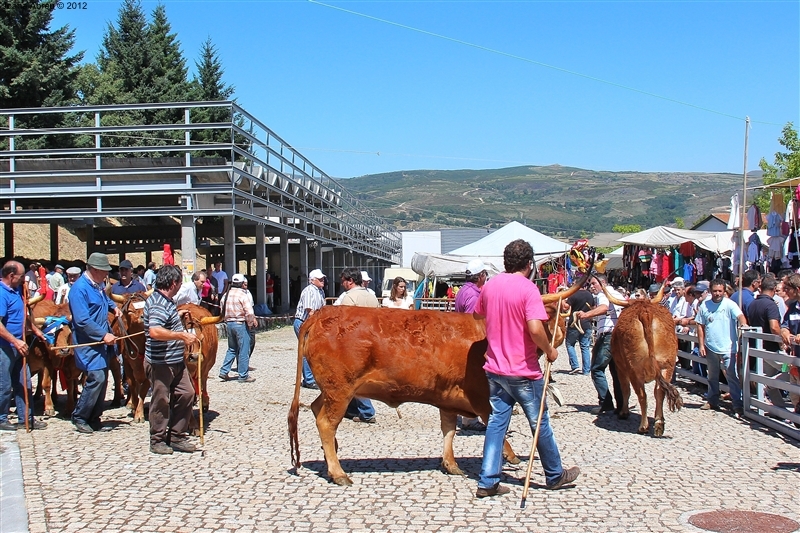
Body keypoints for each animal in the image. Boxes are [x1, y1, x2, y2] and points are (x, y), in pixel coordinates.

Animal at [290, 268, 592, 484]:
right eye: (555, 318)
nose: (558, 341)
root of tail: (323, 313)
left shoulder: (448, 397)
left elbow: (449, 430)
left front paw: (451, 464)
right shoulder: (482, 396)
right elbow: (496, 426)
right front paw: (510, 456)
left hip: (332, 390)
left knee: (316, 409)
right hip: (340, 390)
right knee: (326, 422)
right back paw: (338, 472)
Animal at [600, 280, 680, 434]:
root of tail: (644, 312)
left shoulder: (620, 368)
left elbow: (625, 389)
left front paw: (624, 412)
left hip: (633, 368)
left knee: (641, 395)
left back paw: (643, 426)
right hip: (668, 365)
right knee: (659, 391)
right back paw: (659, 424)